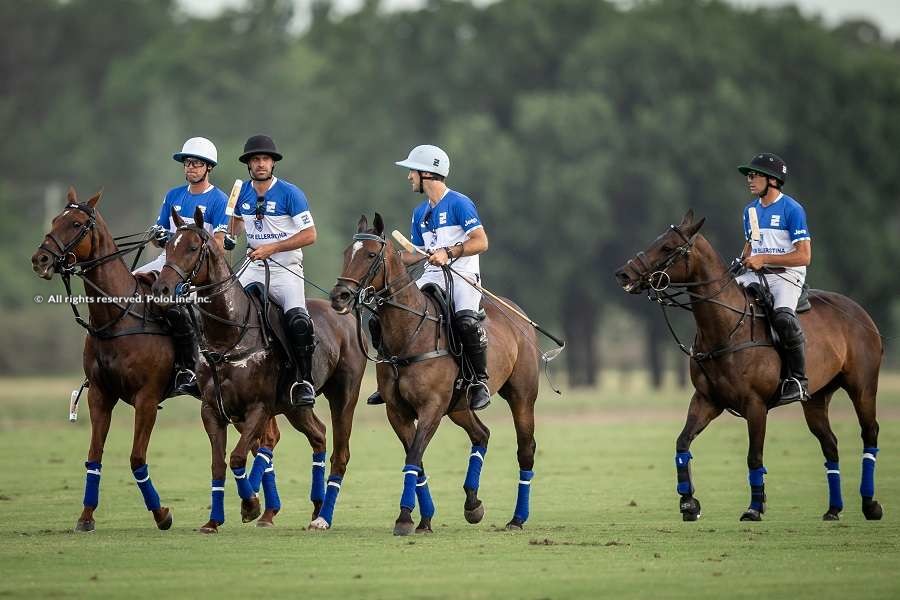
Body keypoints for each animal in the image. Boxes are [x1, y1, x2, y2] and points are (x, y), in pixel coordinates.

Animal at [151, 209, 366, 532]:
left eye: (192, 248)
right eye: (168, 246)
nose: (161, 288)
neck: (230, 334)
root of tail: (346, 317)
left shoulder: (258, 407)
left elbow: (238, 457)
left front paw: (250, 505)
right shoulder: (212, 410)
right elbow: (219, 464)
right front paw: (213, 521)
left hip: (344, 395)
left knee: (340, 449)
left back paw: (321, 515)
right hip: (293, 405)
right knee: (318, 434)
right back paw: (315, 505)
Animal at [330, 214, 540, 536]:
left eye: (370, 255)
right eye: (345, 253)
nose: (339, 296)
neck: (408, 334)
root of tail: (520, 314)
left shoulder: (431, 407)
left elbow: (414, 456)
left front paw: (405, 518)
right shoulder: (397, 411)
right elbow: (415, 461)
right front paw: (423, 520)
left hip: (522, 396)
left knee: (525, 449)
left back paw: (517, 518)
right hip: (459, 406)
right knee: (482, 434)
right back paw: (472, 504)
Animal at [616, 210, 884, 520]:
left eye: (668, 247)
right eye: (657, 240)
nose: (623, 274)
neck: (727, 328)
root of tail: (860, 312)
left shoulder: (755, 405)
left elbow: (754, 456)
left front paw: (755, 507)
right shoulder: (707, 399)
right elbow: (682, 442)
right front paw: (689, 502)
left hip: (862, 386)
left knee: (869, 432)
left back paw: (870, 504)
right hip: (816, 396)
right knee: (830, 443)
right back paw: (833, 509)